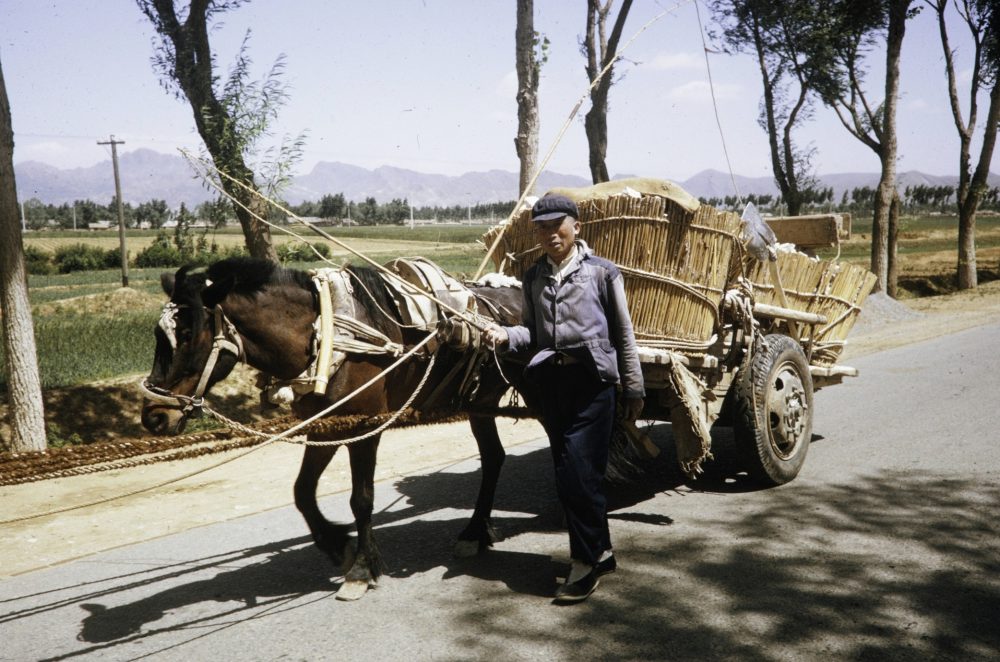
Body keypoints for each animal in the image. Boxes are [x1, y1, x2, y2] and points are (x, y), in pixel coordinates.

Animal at [141, 258, 536, 600]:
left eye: (188, 334)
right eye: (157, 335)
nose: (153, 417)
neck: (325, 336)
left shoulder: (365, 427)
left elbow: (361, 499)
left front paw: (361, 569)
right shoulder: (324, 428)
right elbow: (302, 492)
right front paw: (337, 545)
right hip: (480, 402)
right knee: (493, 457)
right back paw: (474, 532)